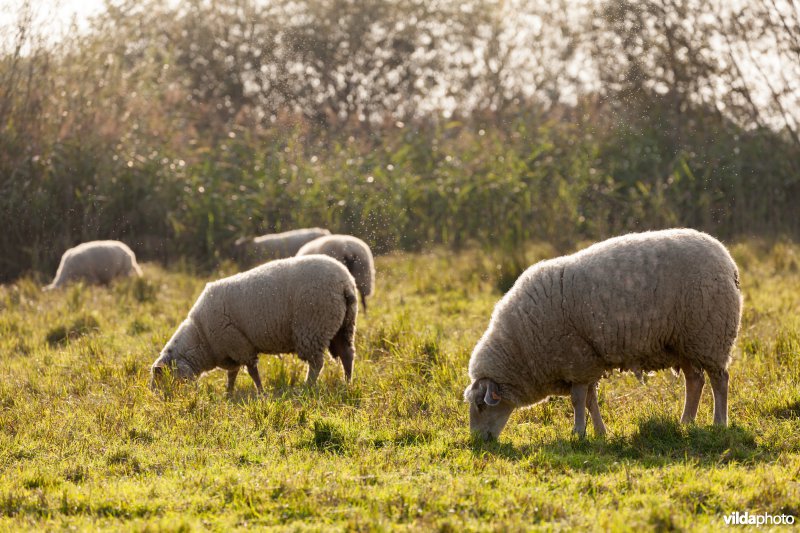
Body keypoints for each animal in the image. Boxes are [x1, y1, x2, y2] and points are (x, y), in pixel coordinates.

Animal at [149, 254, 360, 394]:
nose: (159, 399)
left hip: (313, 327)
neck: (201, 337)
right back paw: (347, 383)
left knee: (317, 363)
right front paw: (229, 393)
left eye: (162, 379)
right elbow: (232, 374)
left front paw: (260, 392)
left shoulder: (240, 345)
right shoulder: (231, 351)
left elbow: (252, 372)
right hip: (344, 325)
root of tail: (345, 282)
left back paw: (307, 387)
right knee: (347, 354)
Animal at [462, 229, 744, 440]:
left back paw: (719, 423)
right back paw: (686, 422)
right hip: (684, 342)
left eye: (481, 405)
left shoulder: (576, 360)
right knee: (695, 382)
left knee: (720, 380)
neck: (521, 346)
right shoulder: (587, 363)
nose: (478, 442)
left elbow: (578, 400)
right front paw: (599, 431)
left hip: (711, 335)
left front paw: (578, 432)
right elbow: (590, 400)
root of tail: (728, 262)